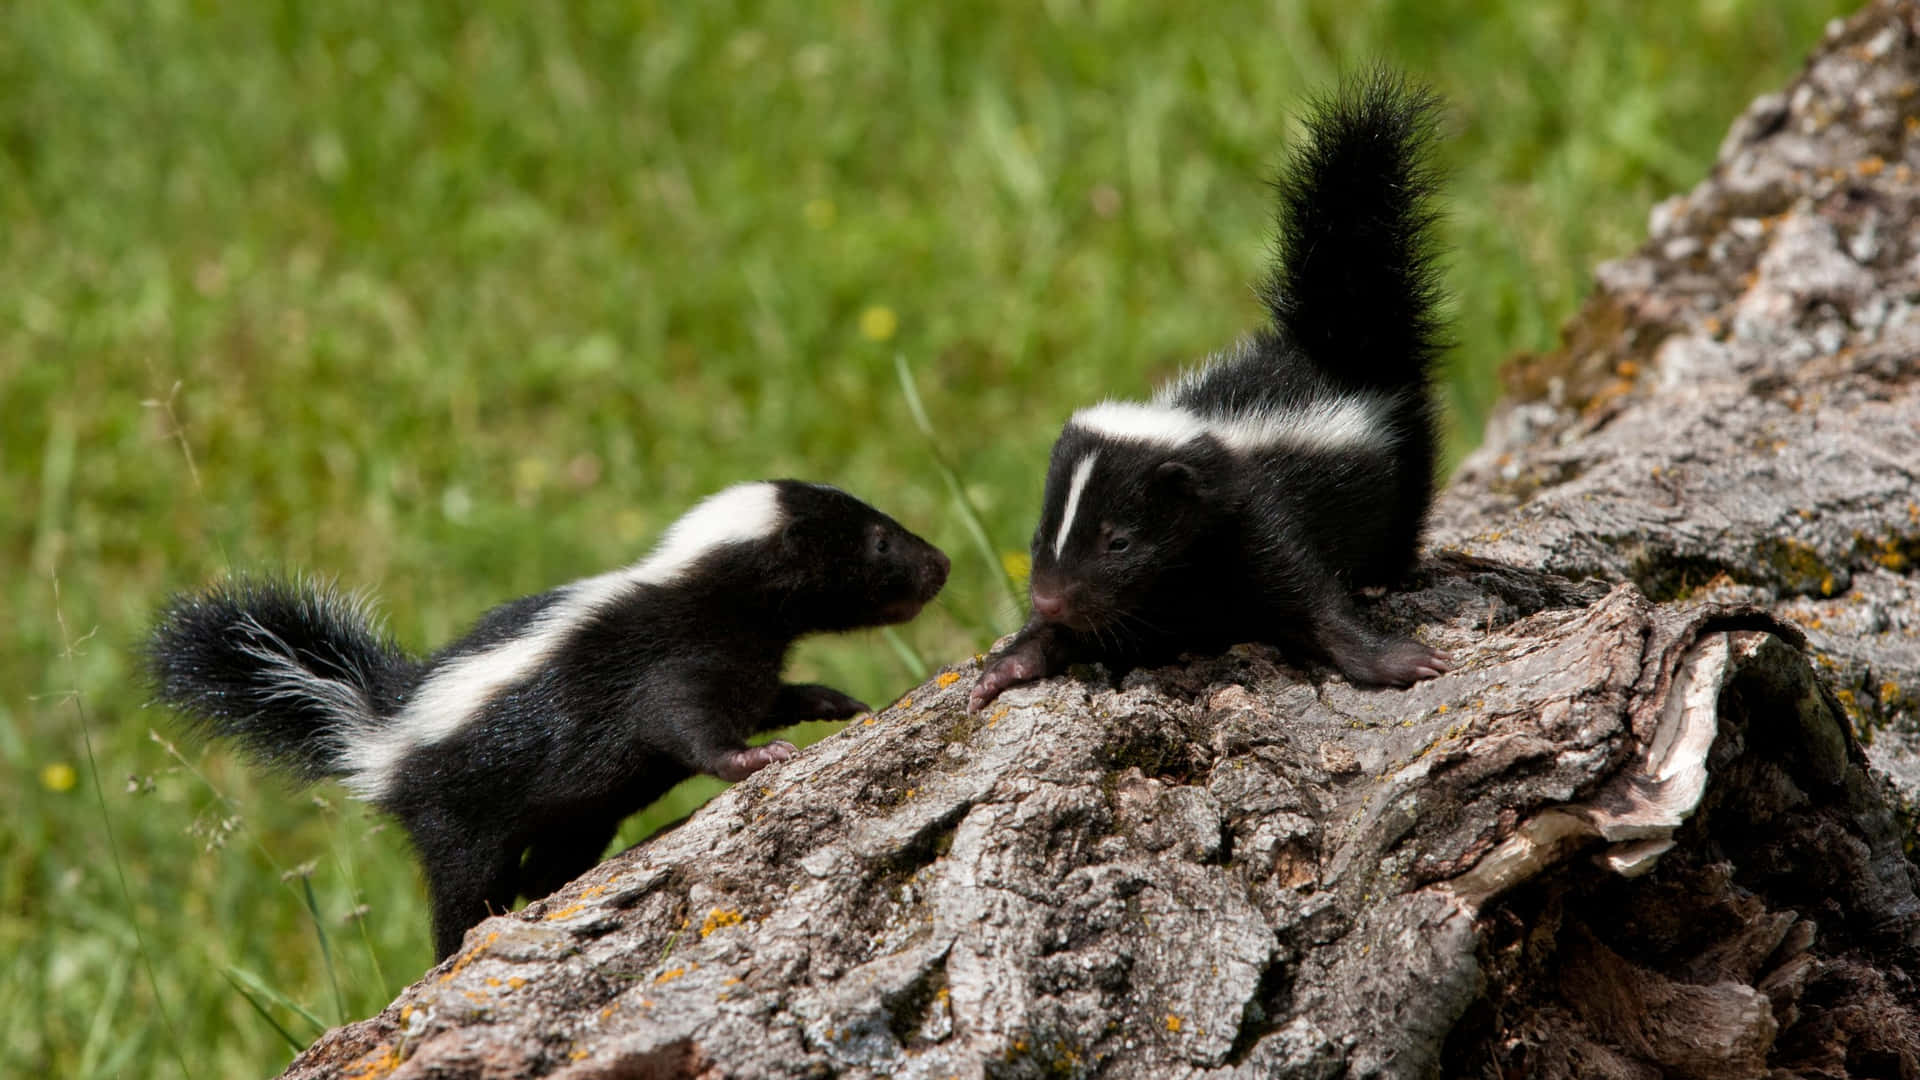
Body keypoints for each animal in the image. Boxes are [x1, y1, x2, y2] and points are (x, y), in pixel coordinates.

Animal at [147, 480, 952, 957]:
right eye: (880, 540)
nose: (940, 563)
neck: (707, 591)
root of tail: (378, 730)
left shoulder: (740, 661)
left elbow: (766, 696)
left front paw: (831, 702)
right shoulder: (669, 665)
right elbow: (686, 726)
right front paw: (757, 759)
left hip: (575, 815)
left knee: (549, 865)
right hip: (460, 810)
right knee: (465, 890)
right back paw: (460, 945)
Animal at [967, 73, 1443, 714]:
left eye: (1120, 542)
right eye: (1041, 535)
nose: (1048, 597)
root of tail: (1333, 344)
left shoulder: (1257, 518)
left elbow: (1314, 600)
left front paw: (1397, 659)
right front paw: (1007, 665)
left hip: (1404, 457)